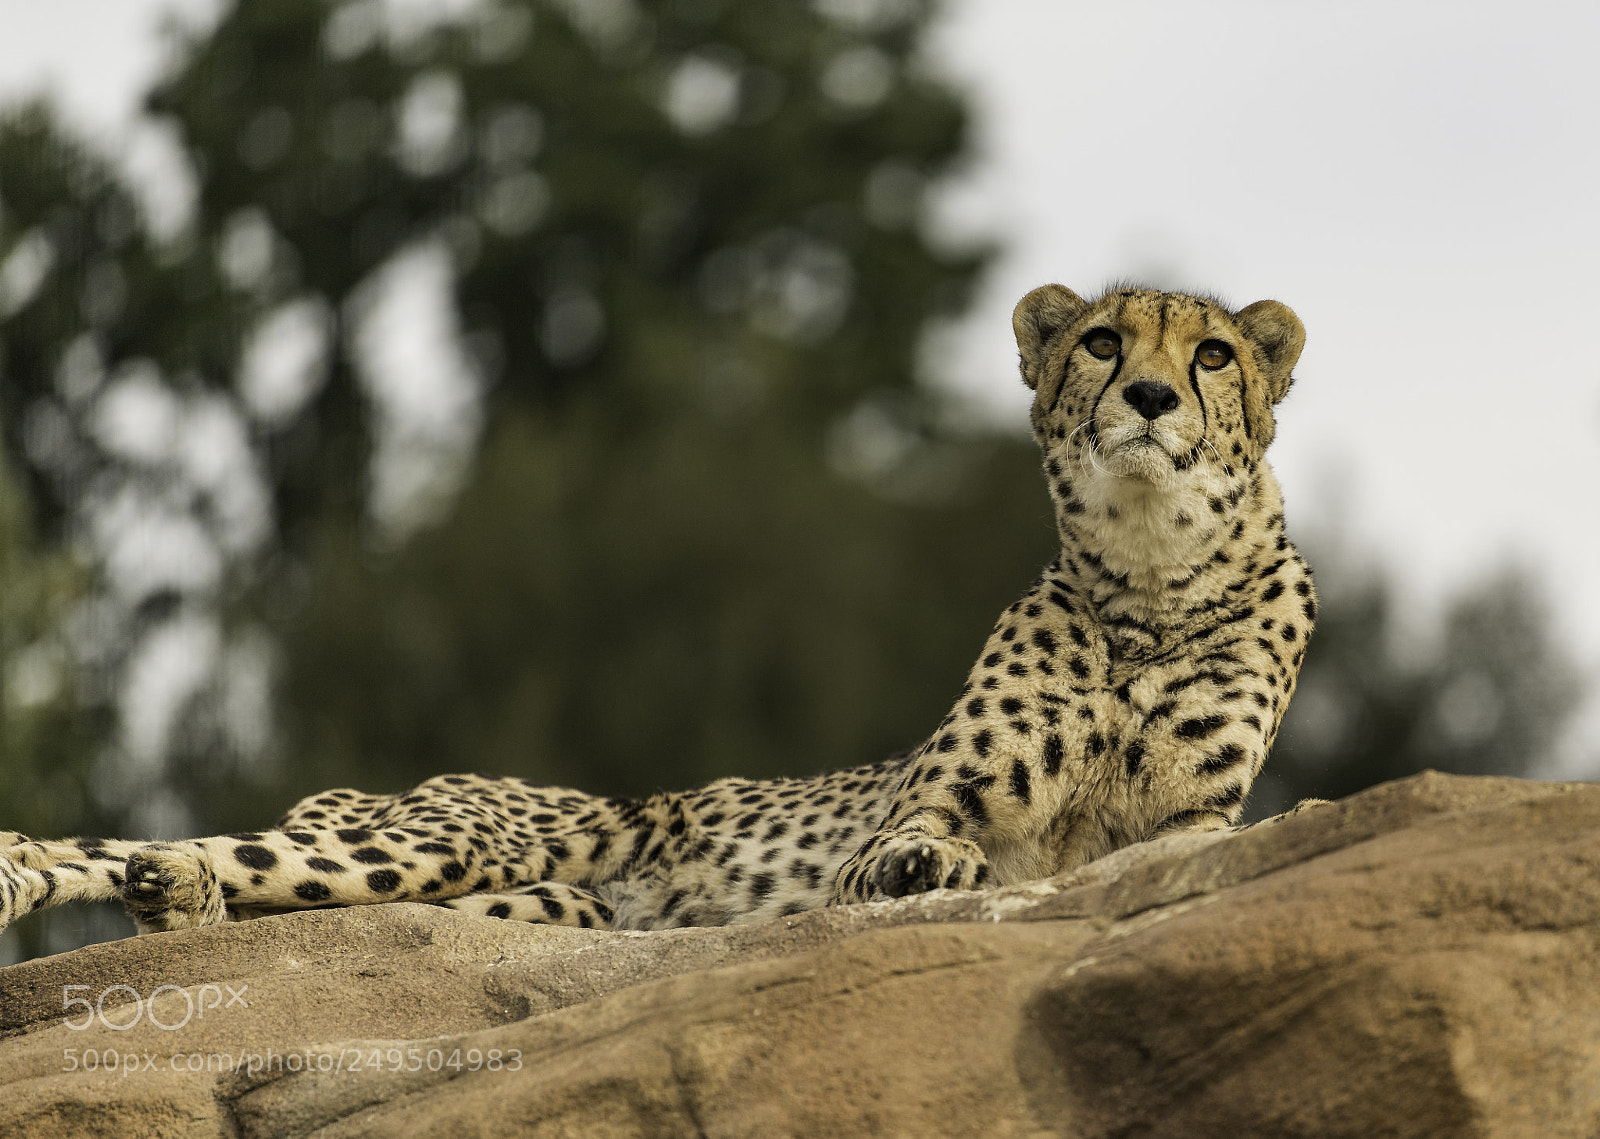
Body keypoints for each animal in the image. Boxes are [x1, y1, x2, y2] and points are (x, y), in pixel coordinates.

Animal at [0, 283, 1317, 944]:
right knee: (143, 848)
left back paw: (175, 898)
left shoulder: (1189, 825)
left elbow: (1176, 847)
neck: (1147, 583)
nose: (1148, 395)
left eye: (1209, 356)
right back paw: (92, 877)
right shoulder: (921, 808)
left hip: (526, 895)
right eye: (1100, 341)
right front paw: (924, 863)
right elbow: (920, 836)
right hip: (455, 839)